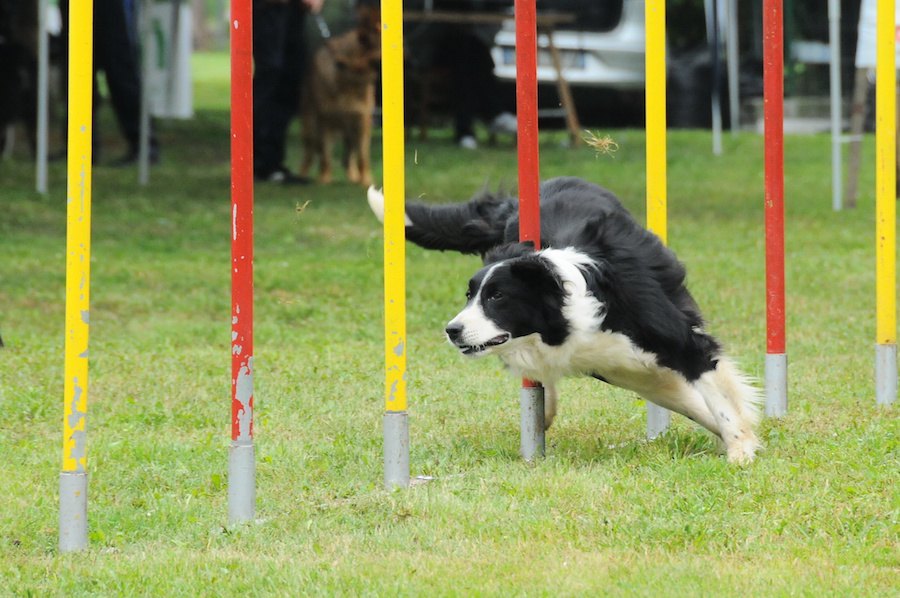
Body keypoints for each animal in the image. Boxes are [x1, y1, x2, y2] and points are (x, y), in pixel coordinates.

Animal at [298, 4, 376, 186]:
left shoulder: (362, 121)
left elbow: (362, 156)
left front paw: (365, 180)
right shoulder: (325, 121)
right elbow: (325, 156)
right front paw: (324, 179)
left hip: (350, 129)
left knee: (350, 155)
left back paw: (354, 176)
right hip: (310, 126)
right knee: (310, 152)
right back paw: (301, 175)